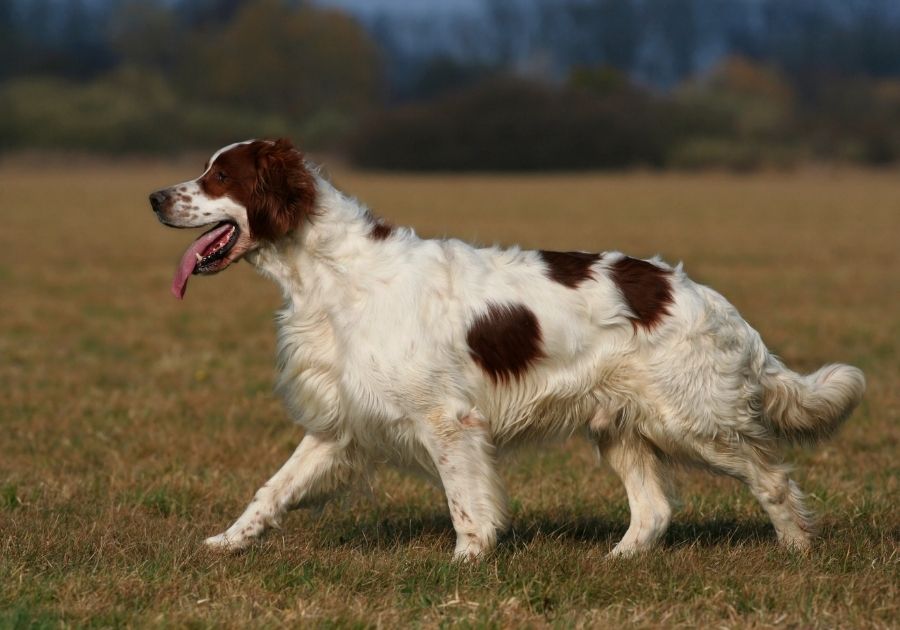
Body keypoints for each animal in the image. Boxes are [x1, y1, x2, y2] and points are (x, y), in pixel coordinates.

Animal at [149, 139, 864, 564]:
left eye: (219, 176)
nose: (154, 196)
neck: (333, 275)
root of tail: (706, 297)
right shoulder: (341, 423)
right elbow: (271, 491)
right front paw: (225, 542)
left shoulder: (448, 421)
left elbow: (467, 505)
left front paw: (465, 564)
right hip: (622, 426)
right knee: (655, 509)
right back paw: (618, 561)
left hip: (694, 420)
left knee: (772, 478)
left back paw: (797, 550)